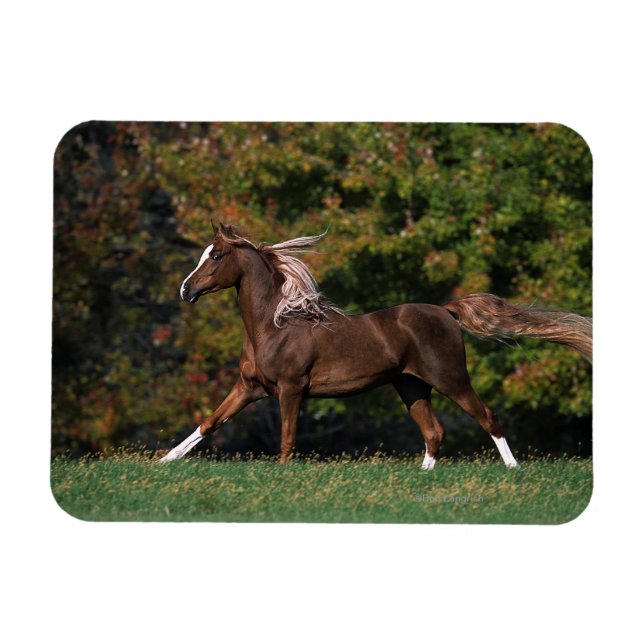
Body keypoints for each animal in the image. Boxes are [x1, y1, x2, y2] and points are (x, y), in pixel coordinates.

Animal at [159, 223, 592, 469]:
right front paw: (164, 462)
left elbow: (286, 439)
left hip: (451, 379)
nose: (185, 290)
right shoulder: (250, 388)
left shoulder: (290, 389)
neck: (273, 325)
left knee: (487, 417)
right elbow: (209, 422)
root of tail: (446, 311)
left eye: (216, 255)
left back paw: (513, 469)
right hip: (410, 385)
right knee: (434, 432)